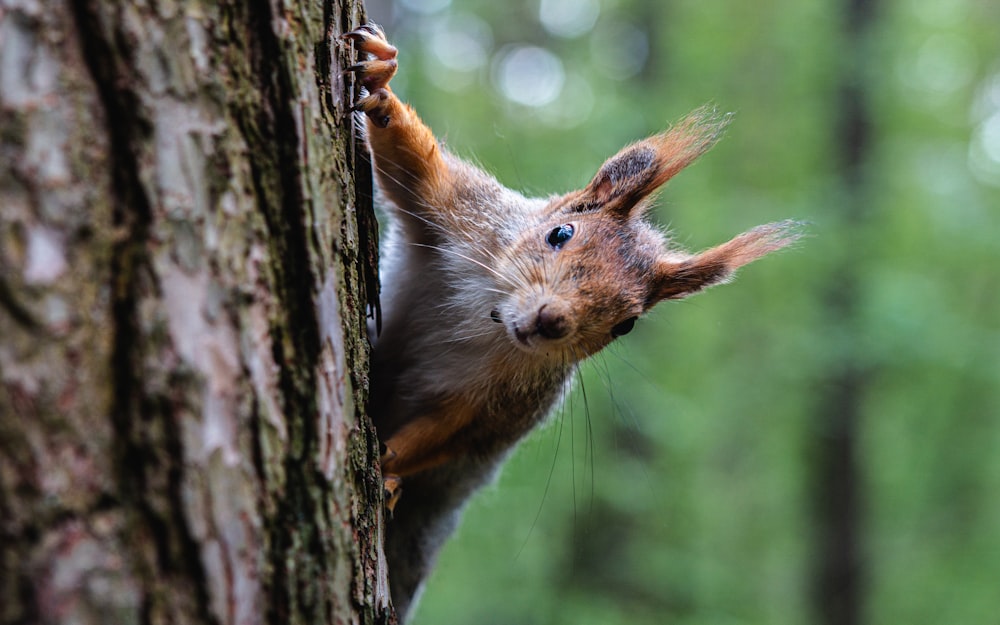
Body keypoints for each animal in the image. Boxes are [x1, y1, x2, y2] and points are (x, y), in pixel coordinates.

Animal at [344, 23, 796, 620]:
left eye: (627, 325)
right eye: (560, 232)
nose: (551, 321)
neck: (491, 320)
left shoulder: (505, 404)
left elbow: (451, 432)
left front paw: (389, 464)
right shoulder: (464, 213)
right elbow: (414, 167)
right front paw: (380, 75)